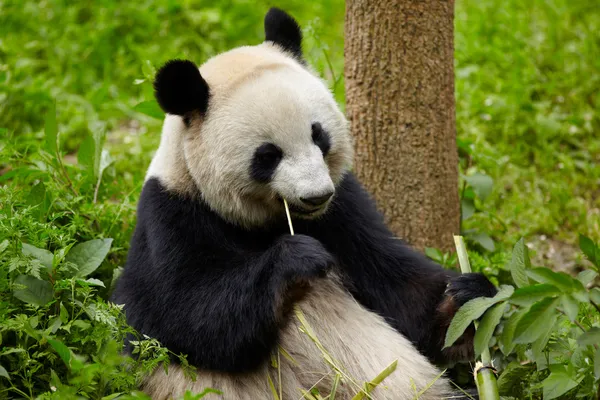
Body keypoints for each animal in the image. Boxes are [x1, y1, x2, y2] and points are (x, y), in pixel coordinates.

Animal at [112, 7, 496, 400]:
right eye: (267, 155)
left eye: (319, 135)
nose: (316, 196)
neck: (265, 222)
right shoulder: (173, 217)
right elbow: (187, 318)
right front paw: (297, 260)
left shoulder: (344, 211)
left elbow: (398, 288)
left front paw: (466, 298)